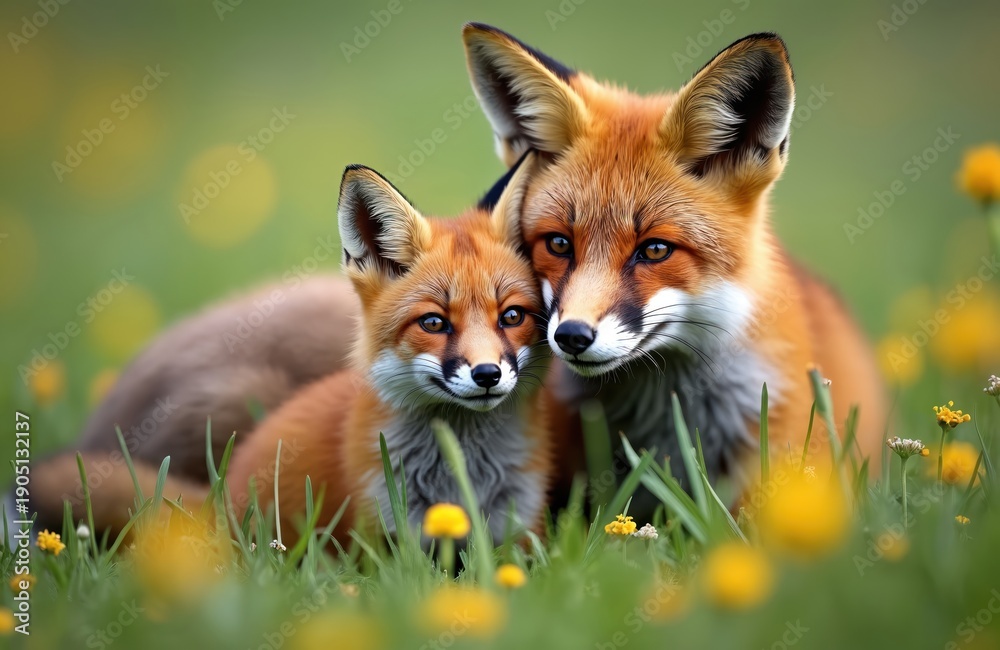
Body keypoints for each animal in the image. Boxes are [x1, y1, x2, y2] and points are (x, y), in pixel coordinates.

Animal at [226, 153, 552, 547]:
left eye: (512, 316)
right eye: (433, 323)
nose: (488, 374)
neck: (459, 483)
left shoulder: (520, 527)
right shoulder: (382, 532)